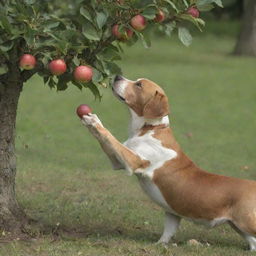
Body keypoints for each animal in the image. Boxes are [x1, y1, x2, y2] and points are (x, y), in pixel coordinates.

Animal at [81, 75, 256, 250]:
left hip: (245, 222)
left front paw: (94, 121)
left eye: (139, 85)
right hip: (238, 227)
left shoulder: (132, 161)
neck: (152, 127)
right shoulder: (117, 161)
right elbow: (106, 141)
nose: (117, 76)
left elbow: (109, 137)